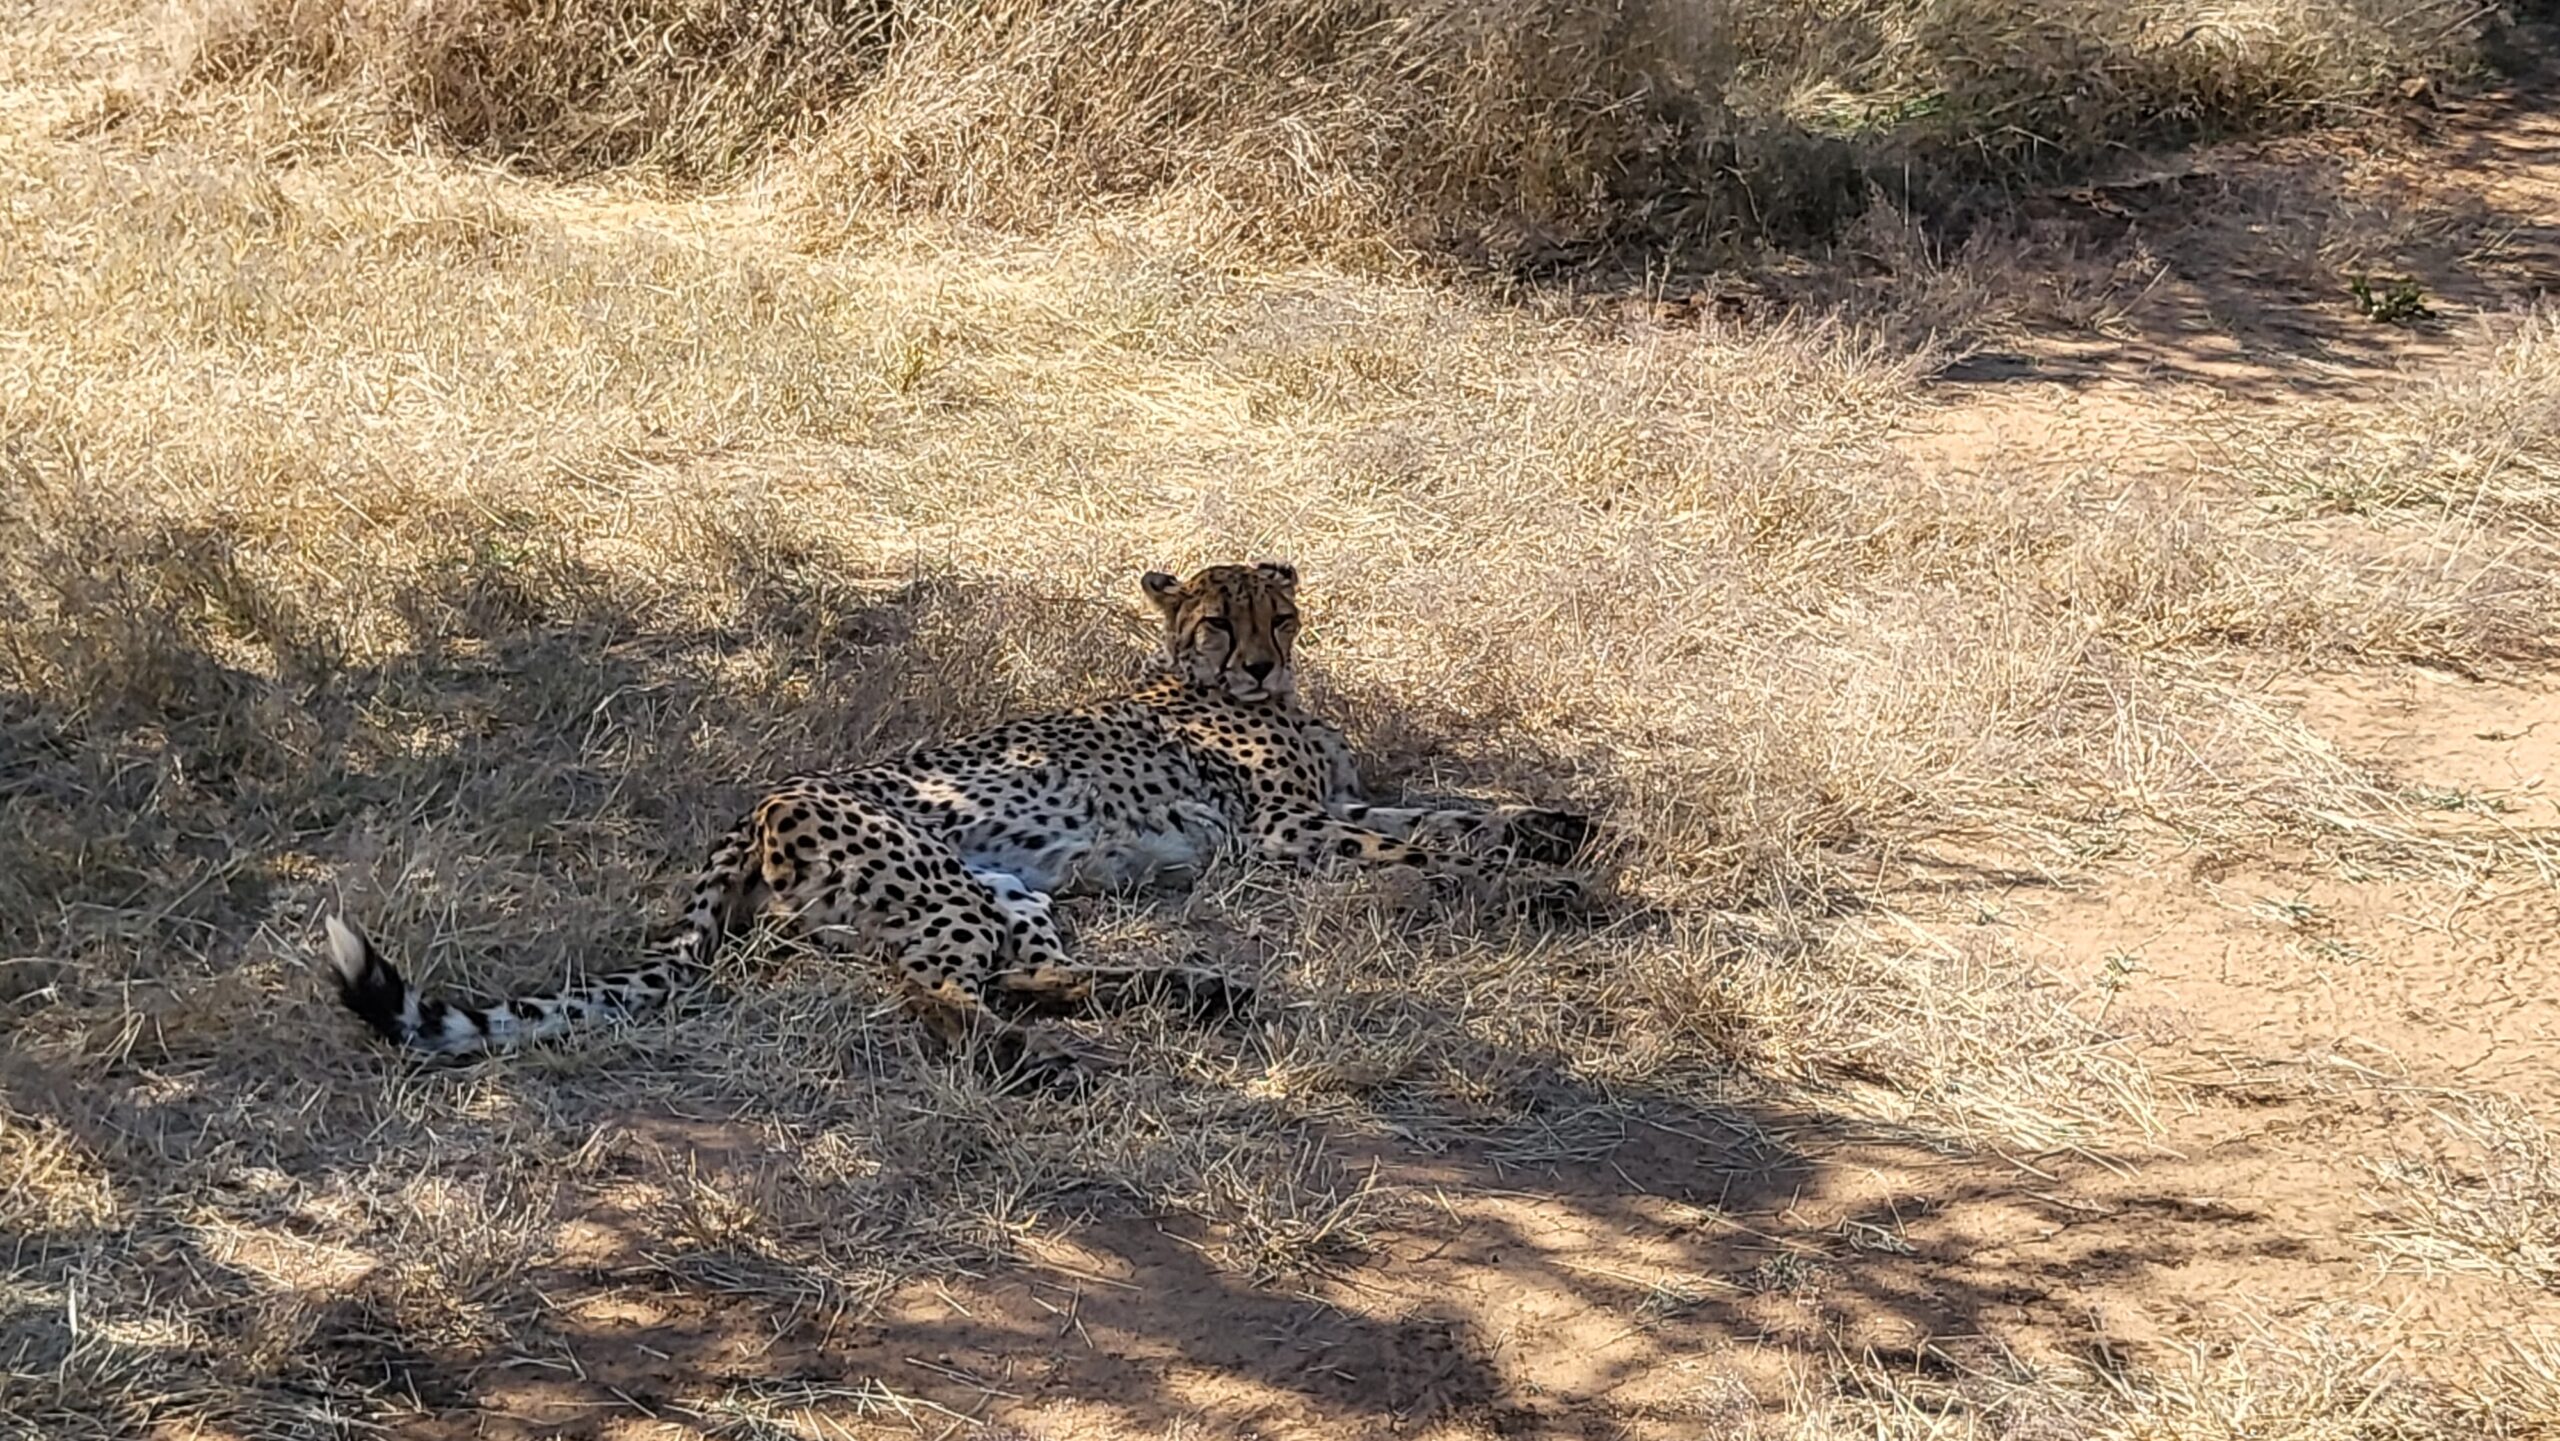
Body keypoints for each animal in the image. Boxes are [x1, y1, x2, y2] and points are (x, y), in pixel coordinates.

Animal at [321, 561, 1596, 1086]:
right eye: (1218, 619)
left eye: (1277, 614)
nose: (1261, 660)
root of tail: (753, 805)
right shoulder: (1285, 833)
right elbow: (1432, 837)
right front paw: (1540, 872)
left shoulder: (1320, 805)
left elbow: (1447, 809)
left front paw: (1555, 829)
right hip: (936, 882)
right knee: (929, 997)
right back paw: (1037, 1061)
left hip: (1006, 888)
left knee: (1020, 976)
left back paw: (1188, 990)